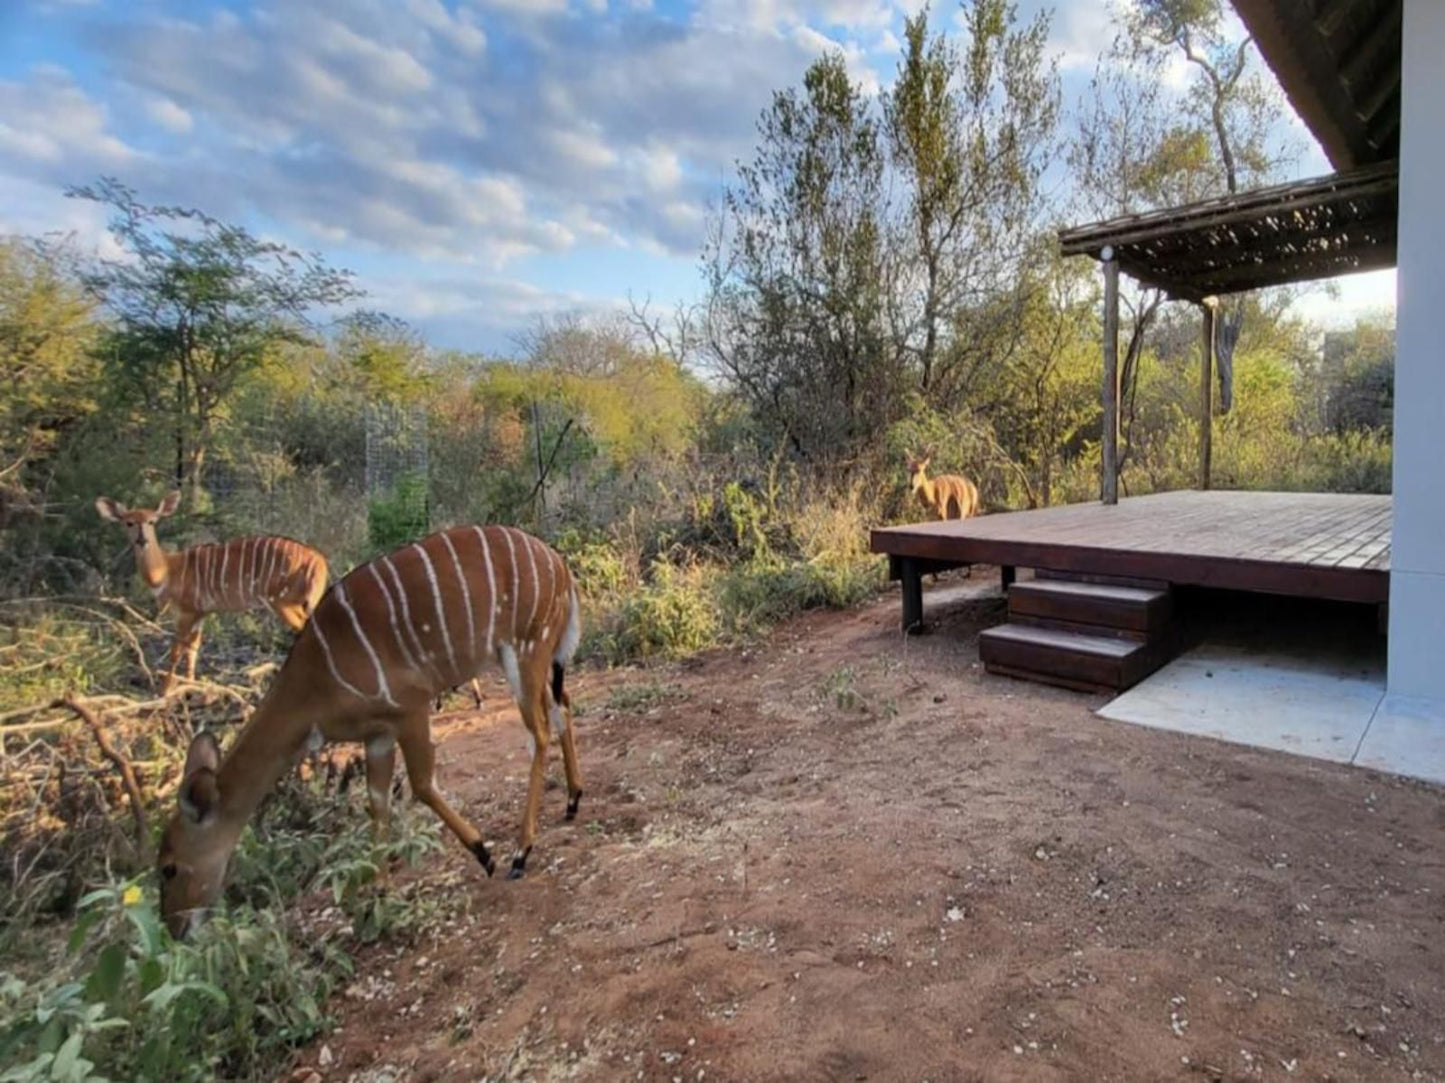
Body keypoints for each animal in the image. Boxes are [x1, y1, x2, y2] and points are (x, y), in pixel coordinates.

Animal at [97, 488, 329, 694]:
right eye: (129, 522)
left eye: (152, 521)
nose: (142, 540)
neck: (167, 570)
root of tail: (318, 562)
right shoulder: (201, 613)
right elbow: (193, 649)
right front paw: (190, 683)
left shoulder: (186, 612)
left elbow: (177, 650)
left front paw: (165, 690)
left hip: (282, 602)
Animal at [156, 523, 580, 936]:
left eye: (169, 867)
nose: (174, 929)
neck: (314, 680)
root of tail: (558, 565)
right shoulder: (378, 734)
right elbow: (378, 802)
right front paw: (379, 893)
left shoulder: (410, 708)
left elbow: (421, 784)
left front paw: (485, 854)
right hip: (535, 659)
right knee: (562, 706)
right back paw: (573, 801)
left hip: (524, 650)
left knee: (539, 733)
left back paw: (521, 852)